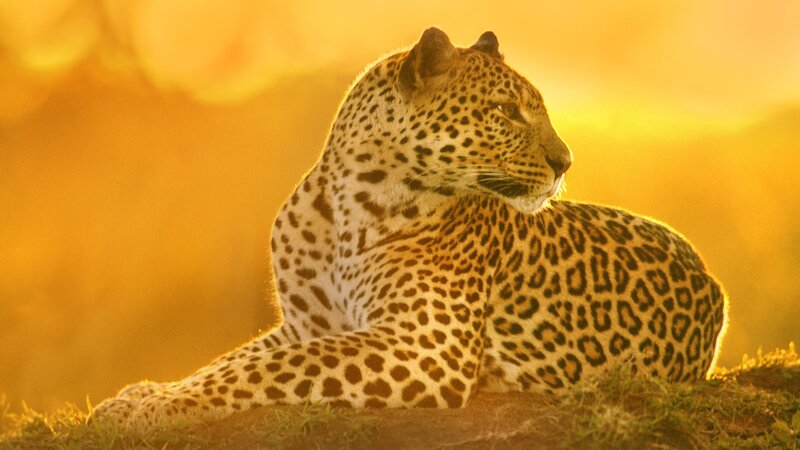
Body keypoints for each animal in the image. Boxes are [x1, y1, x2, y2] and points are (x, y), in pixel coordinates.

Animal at [93, 27, 728, 429]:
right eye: (506, 112)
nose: (565, 161)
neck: (344, 207)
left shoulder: (424, 345)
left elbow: (265, 368)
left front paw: (150, 410)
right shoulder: (306, 324)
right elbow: (231, 361)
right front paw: (142, 394)